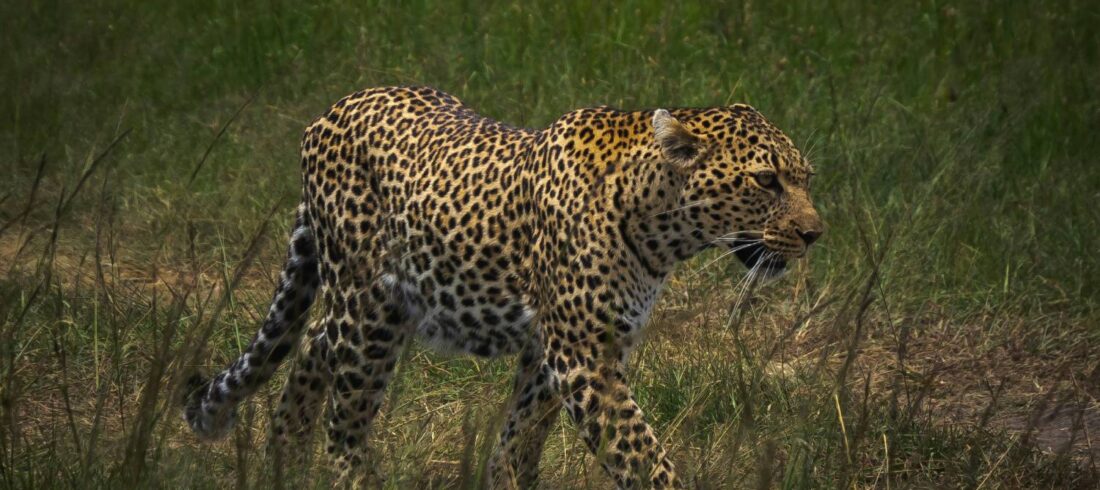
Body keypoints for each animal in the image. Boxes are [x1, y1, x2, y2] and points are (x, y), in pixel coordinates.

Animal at [183, 86, 823, 489]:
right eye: (766, 181)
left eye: (806, 178)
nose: (816, 233)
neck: (659, 227)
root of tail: (333, 108)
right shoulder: (582, 354)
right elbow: (640, 454)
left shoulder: (555, 352)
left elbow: (518, 441)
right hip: (371, 306)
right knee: (346, 420)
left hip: (364, 303)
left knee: (314, 342)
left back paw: (285, 458)